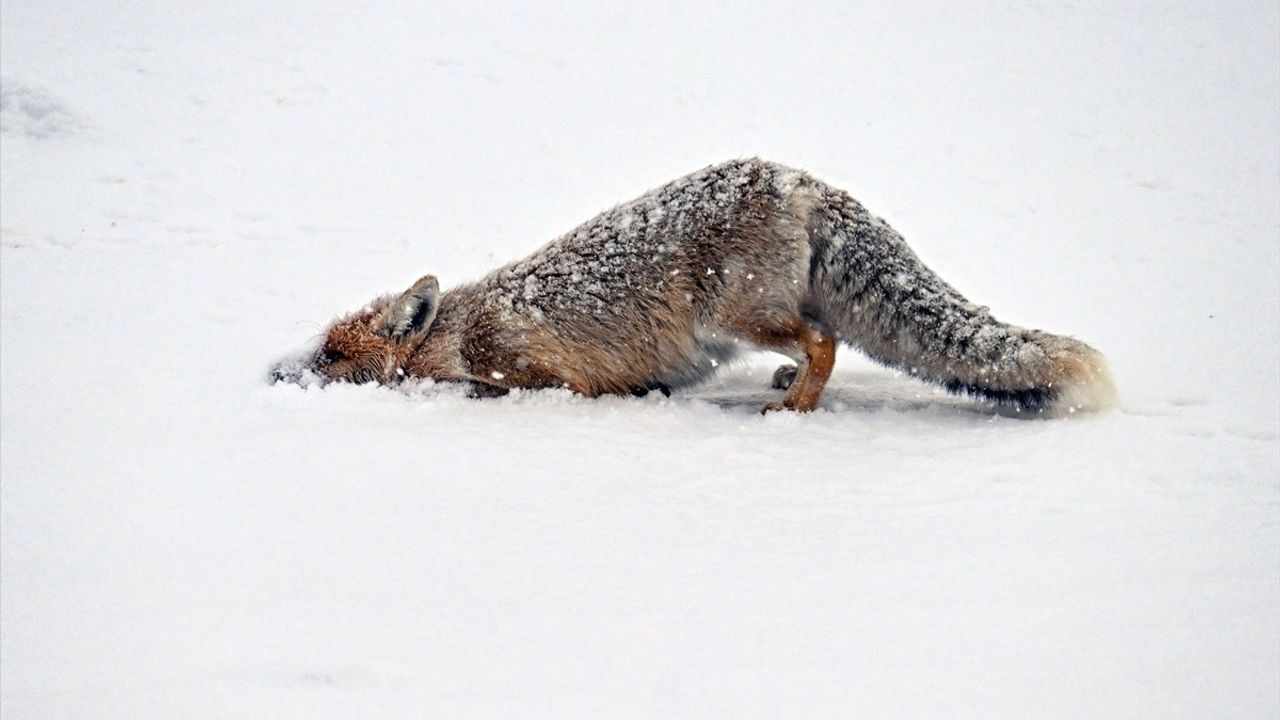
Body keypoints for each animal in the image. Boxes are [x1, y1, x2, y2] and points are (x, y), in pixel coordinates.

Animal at [272, 156, 1121, 415]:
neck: (456, 331)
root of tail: (796, 177)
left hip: (736, 315)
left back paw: (792, 409)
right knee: (825, 340)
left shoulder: (536, 372)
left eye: (333, 356)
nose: (274, 374)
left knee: (825, 341)